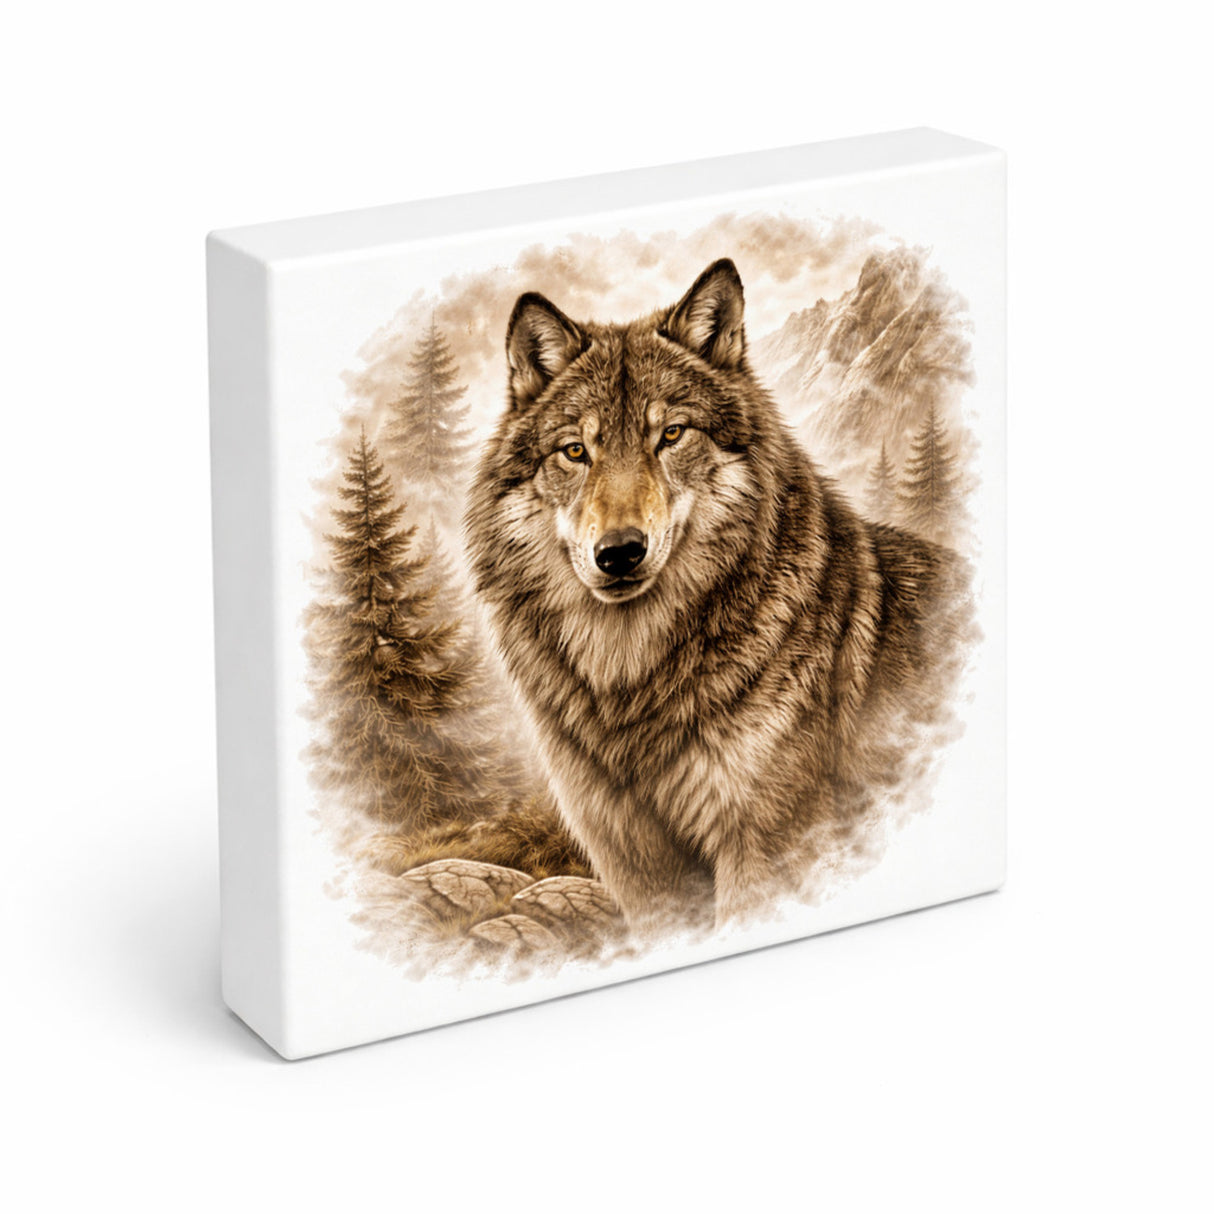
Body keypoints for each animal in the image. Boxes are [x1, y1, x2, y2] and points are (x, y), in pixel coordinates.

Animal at [465, 259, 970, 931]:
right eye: (576, 451)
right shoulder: (640, 873)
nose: (619, 552)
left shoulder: (765, 852)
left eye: (672, 435)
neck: (632, 688)